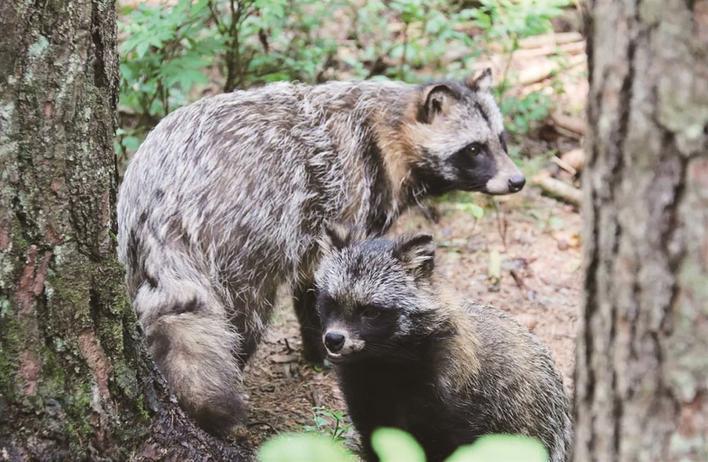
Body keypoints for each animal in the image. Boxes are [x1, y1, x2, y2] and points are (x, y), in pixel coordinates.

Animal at [117, 68, 524, 434]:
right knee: (245, 314)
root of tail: (160, 200)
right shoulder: (348, 198)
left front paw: (317, 345)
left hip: (135, 247)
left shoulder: (311, 231)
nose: (517, 180)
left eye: (501, 139)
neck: (387, 131)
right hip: (240, 233)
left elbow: (314, 285)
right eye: (474, 149)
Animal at [314, 228, 568, 462]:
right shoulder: (366, 399)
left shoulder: (455, 404)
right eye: (331, 302)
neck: (382, 363)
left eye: (371, 311)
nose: (334, 339)